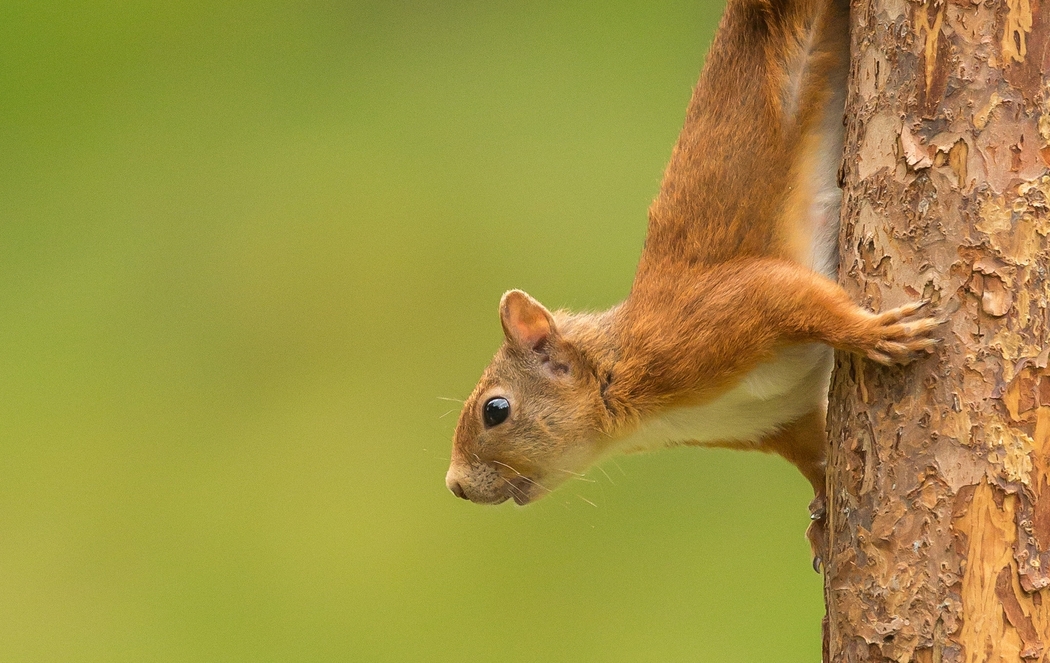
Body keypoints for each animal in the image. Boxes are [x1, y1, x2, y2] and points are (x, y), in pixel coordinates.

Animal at [445, 0, 944, 567]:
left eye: (496, 411)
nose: (455, 485)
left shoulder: (713, 317)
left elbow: (790, 297)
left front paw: (875, 334)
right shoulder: (775, 419)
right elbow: (812, 457)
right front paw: (821, 516)